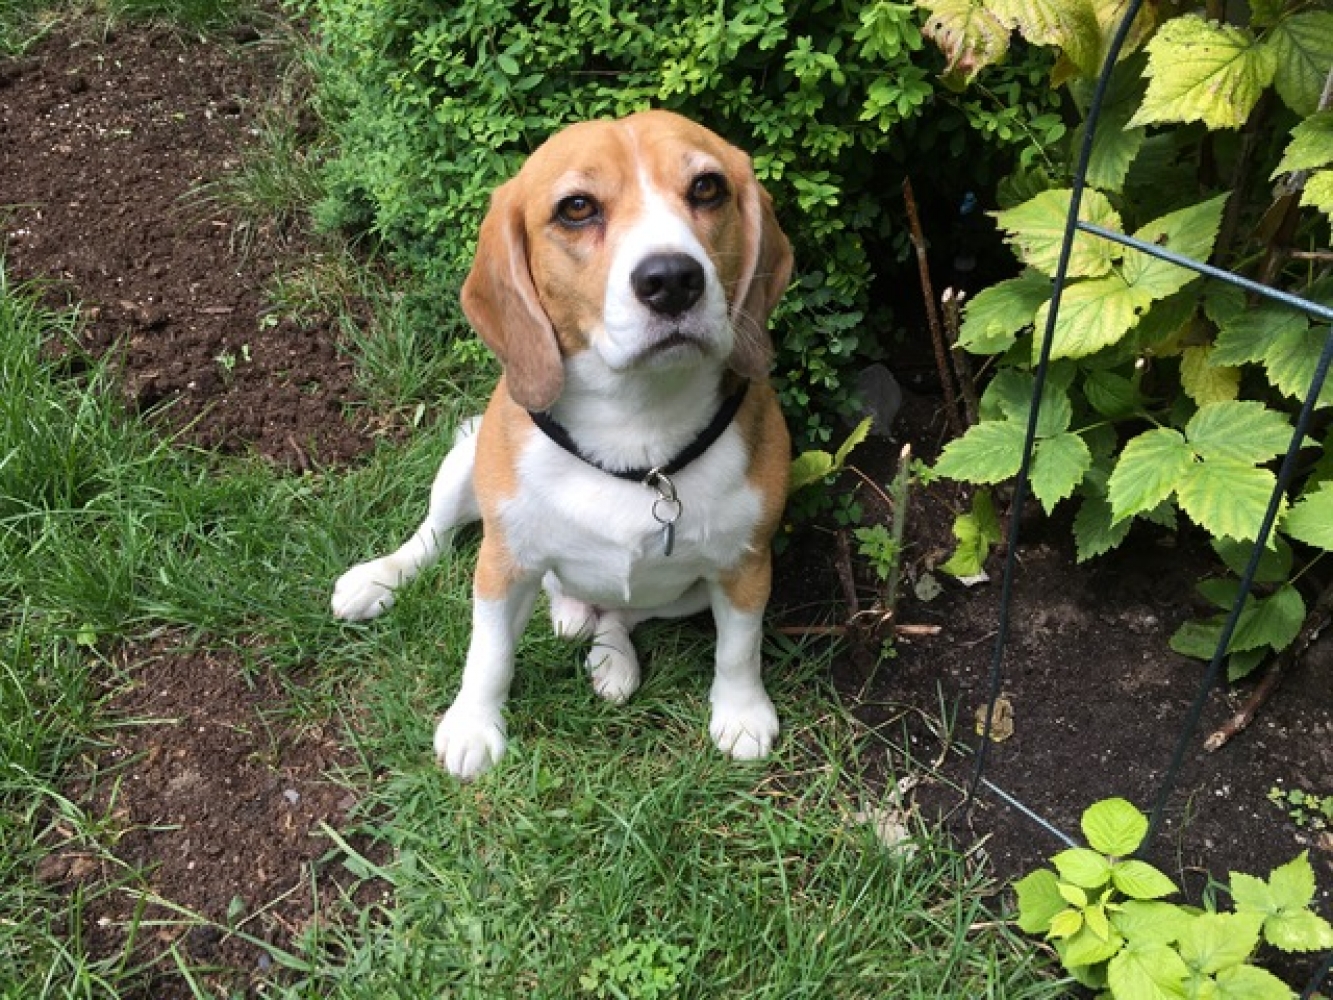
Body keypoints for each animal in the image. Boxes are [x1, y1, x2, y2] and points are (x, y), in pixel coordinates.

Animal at [331, 111, 789, 784]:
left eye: (707, 188)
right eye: (577, 207)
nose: (672, 279)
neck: (636, 432)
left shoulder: (746, 567)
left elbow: (739, 649)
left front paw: (741, 713)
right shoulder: (503, 565)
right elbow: (489, 654)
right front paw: (474, 726)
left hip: (686, 595)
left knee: (621, 612)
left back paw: (609, 653)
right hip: (466, 457)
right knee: (432, 535)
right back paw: (376, 580)